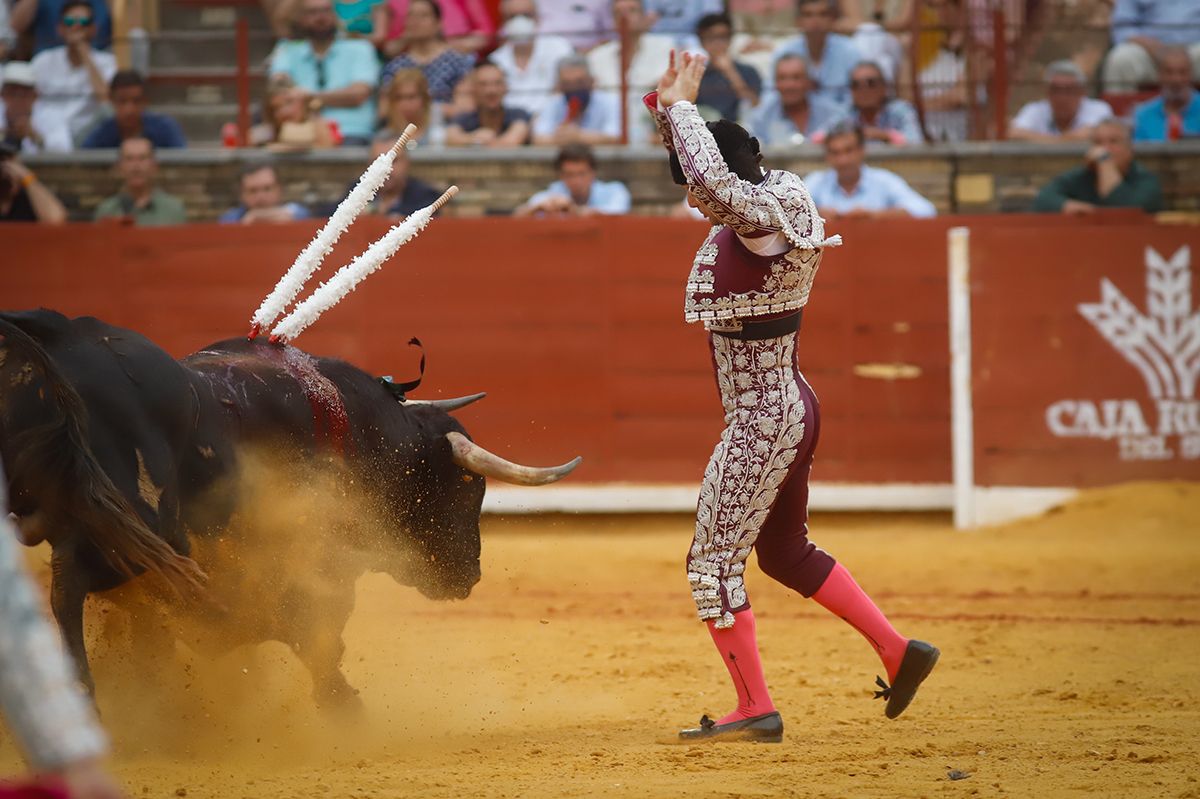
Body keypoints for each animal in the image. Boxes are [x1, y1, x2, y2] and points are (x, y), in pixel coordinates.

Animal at [0, 307, 580, 705]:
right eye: (466, 485)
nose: (470, 574)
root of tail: (51, 343)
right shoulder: (313, 564)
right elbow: (309, 633)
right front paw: (341, 702)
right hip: (139, 530)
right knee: (67, 585)